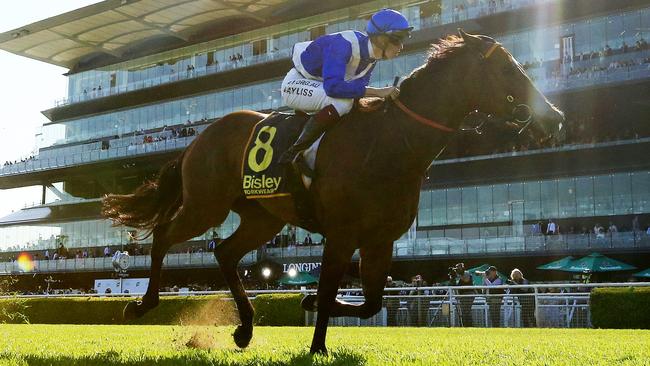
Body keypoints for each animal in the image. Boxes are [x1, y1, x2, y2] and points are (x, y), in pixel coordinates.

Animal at [101, 31, 560, 354]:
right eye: (509, 71)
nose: (553, 118)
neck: (393, 143)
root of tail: (200, 137)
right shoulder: (341, 234)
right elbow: (327, 292)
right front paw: (317, 345)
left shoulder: (379, 240)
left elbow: (371, 302)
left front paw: (304, 306)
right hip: (205, 205)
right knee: (164, 236)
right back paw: (141, 305)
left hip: (263, 218)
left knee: (225, 253)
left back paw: (245, 327)